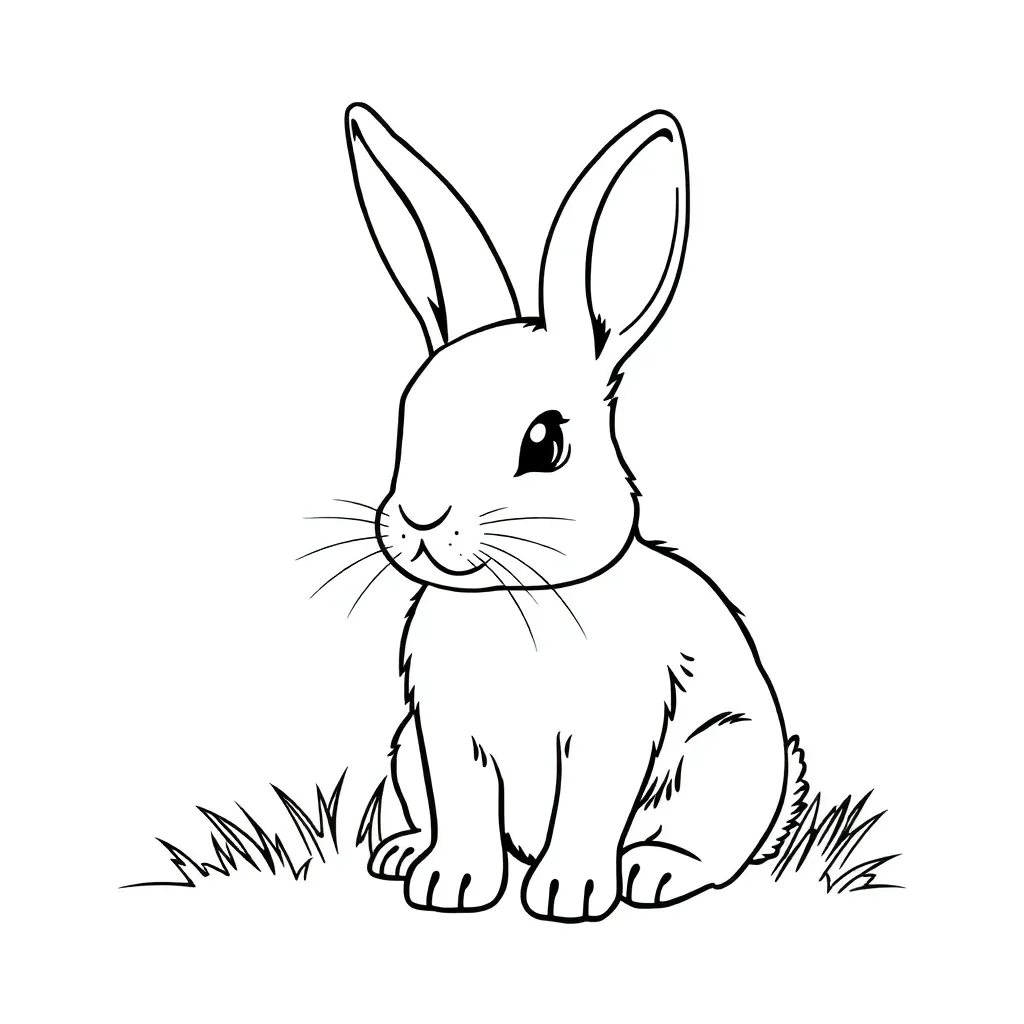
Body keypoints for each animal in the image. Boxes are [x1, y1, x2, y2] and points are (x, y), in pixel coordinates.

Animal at [343, 103, 805, 921]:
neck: (513, 598)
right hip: (403, 751)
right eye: (407, 416)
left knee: (711, 849)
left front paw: (568, 894)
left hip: (725, 755)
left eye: (546, 441)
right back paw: (401, 854)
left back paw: (652, 873)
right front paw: (450, 885)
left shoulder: (609, 734)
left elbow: (588, 809)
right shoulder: (447, 737)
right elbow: (465, 812)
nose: (421, 521)